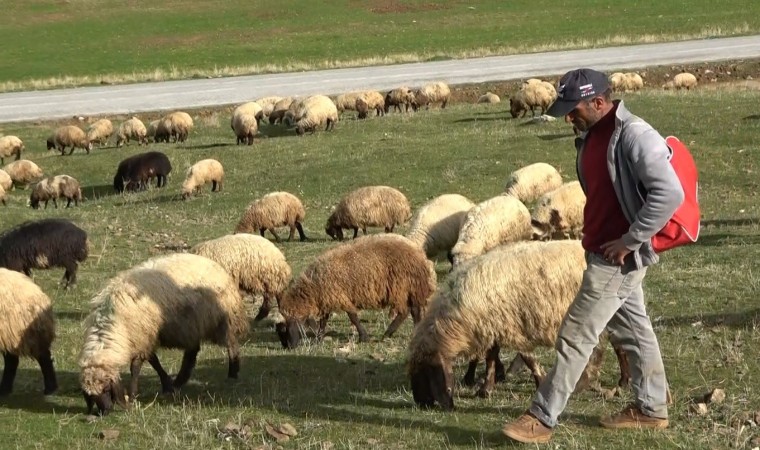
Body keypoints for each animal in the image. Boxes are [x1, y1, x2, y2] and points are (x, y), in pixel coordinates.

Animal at [78, 253, 248, 415]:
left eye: (107, 389)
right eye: (91, 396)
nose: (105, 411)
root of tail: (215, 265)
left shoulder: (144, 337)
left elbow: (136, 367)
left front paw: (133, 395)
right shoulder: (146, 338)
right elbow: (154, 361)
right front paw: (167, 384)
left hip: (222, 321)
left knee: (231, 344)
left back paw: (233, 372)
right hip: (191, 326)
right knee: (191, 354)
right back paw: (179, 381)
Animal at [276, 234, 437, 348]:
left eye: (283, 329)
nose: (288, 347)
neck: (313, 286)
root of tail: (421, 255)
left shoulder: (337, 294)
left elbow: (352, 316)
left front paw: (363, 337)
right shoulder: (327, 297)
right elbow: (324, 320)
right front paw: (319, 337)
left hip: (401, 286)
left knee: (405, 311)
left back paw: (387, 333)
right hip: (410, 288)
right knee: (414, 310)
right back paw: (413, 331)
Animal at [408, 240, 610, 409]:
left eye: (423, 372)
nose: (421, 404)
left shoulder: (513, 327)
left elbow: (527, 357)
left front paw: (539, 381)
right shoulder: (494, 326)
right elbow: (491, 357)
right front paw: (486, 389)